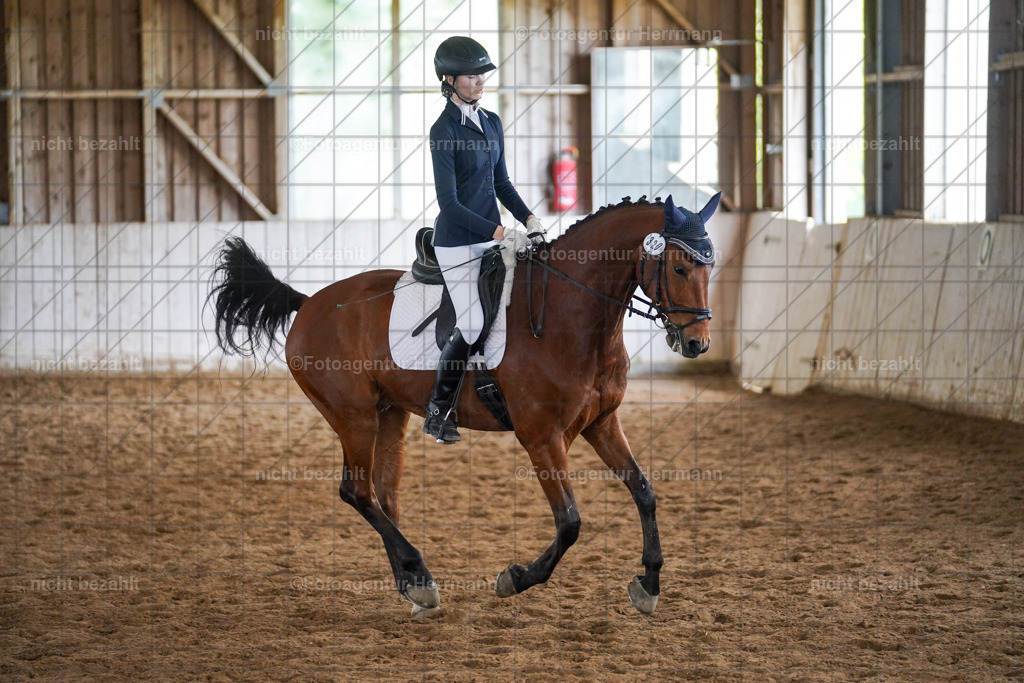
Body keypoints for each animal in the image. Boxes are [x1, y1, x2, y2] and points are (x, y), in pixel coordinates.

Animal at [208, 193, 719, 616]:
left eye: (708, 270)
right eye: (678, 268)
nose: (697, 344)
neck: (570, 316)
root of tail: (310, 301)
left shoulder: (602, 423)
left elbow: (645, 492)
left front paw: (648, 585)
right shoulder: (542, 437)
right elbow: (570, 523)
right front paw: (515, 578)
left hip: (389, 413)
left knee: (384, 494)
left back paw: (414, 585)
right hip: (352, 417)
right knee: (356, 492)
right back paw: (417, 574)